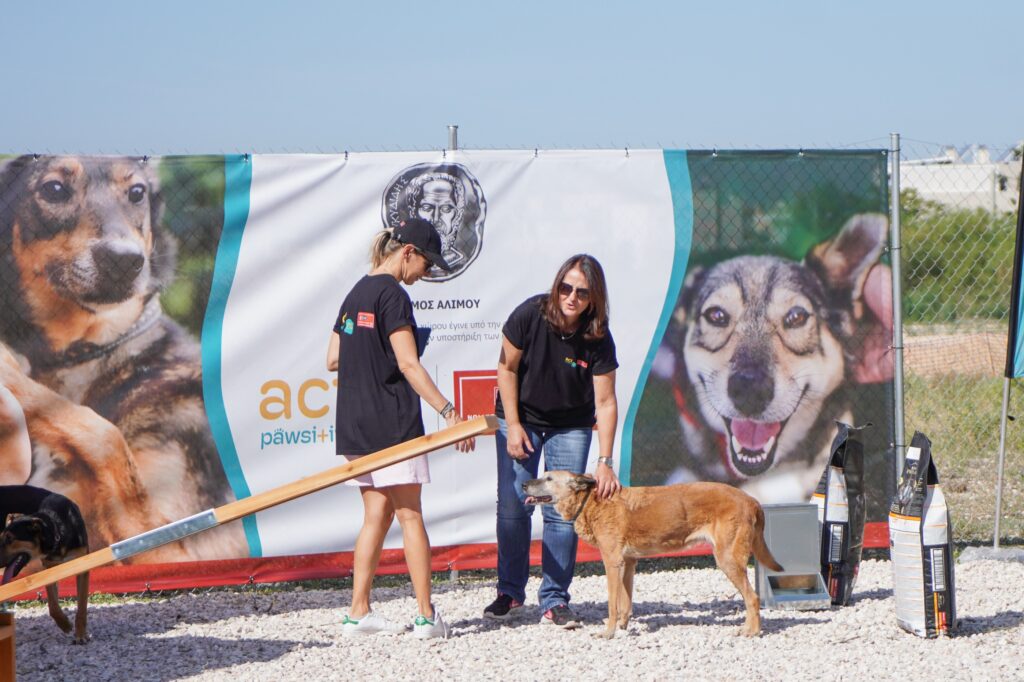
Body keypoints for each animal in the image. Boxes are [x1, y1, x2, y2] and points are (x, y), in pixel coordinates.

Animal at [1, 485, 90, 638]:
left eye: (9, 539)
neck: (57, 531)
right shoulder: (49, 568)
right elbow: (52, 605)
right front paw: (64, 624)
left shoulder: (82, 566)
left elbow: (82, 605)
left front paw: (80, 634)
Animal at [528, 471, 782, 634]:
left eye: (548, 478)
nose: (523, 485)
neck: (591, 501)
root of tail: (751, 500)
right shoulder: (628, 563)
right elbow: (625, 603)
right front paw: (623, 627)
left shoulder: (612, 562)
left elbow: (612, 604)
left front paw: (608, 633)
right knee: (751, 598)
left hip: (727, 559)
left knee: (753, 598)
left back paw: (751, 631)